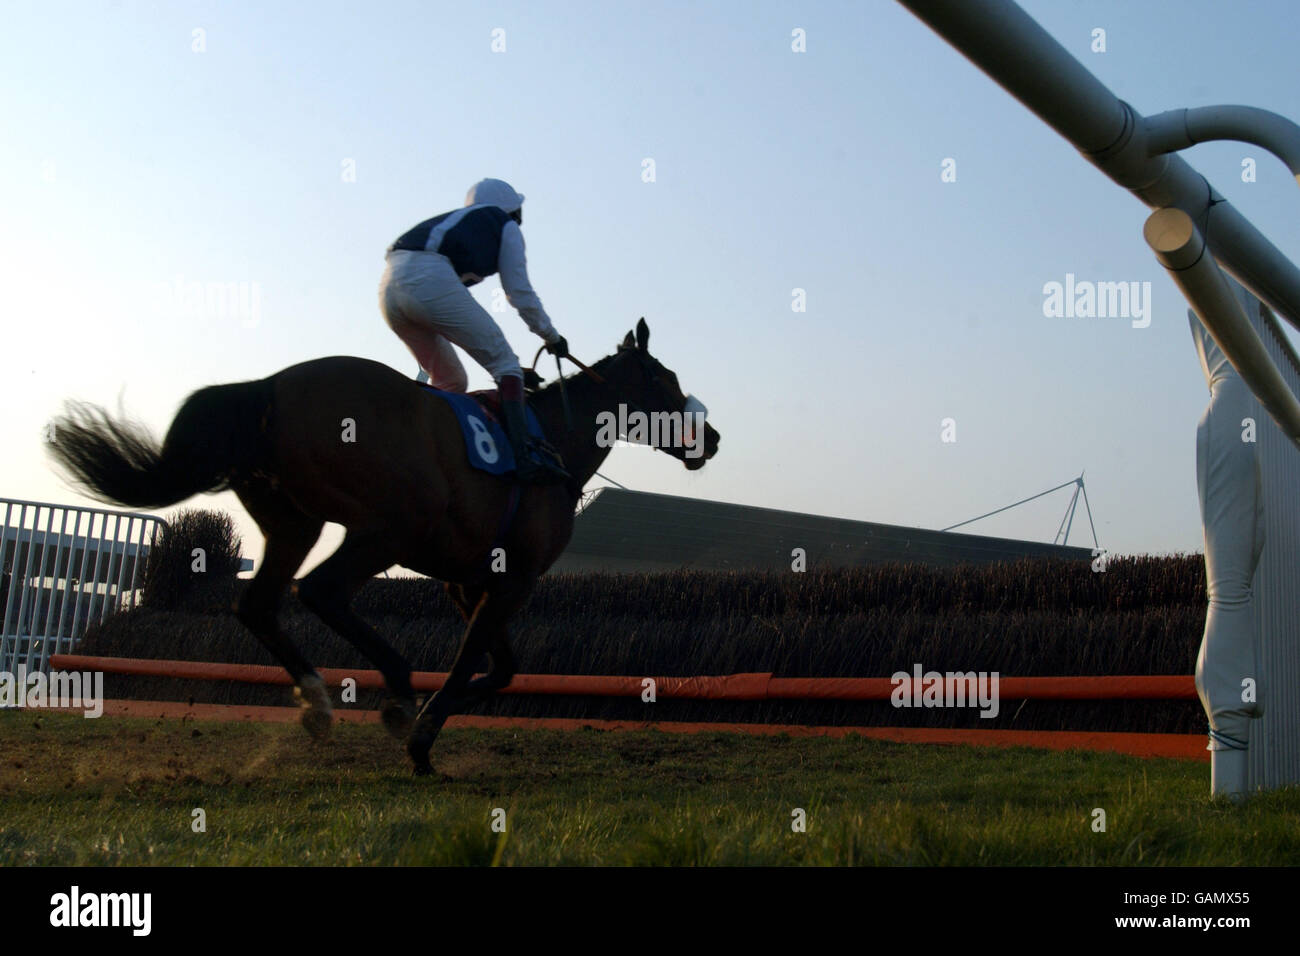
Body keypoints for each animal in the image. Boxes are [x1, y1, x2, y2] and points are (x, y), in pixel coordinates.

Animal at [48, 317, 722, 775]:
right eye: (668, 381)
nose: (709, 437)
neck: (553, 443)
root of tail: (268, 387)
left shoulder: (468, 581)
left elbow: (501, 668)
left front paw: (428, 718)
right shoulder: (511, 579)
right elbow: (473, 661)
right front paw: (422, 735)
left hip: (294, 524)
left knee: (259, 604)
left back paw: (321, 701)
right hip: (390, 525)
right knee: (321, 590)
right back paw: (393, 689)